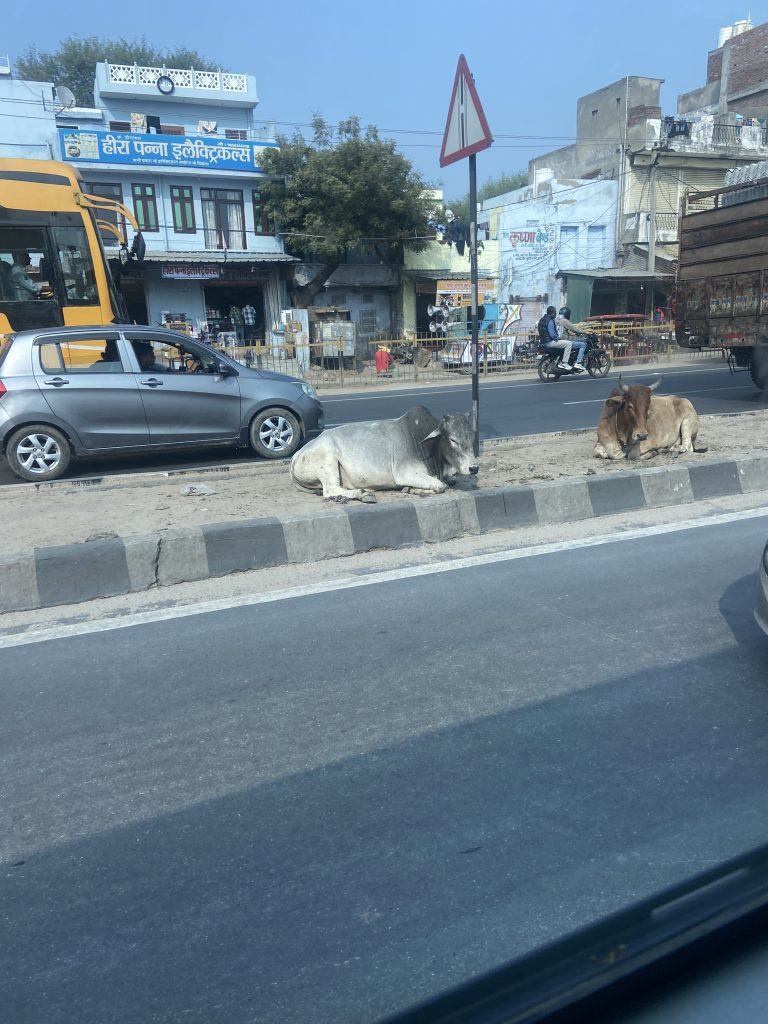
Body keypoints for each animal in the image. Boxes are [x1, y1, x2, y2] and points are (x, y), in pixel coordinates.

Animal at [290, 405, 478, 503]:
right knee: (330, 490)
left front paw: (410, 489)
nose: (474, 468)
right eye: (453, 440)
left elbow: (449, 481)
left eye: (471, 436)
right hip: (328, 461)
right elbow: (441, 486)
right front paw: (413, 489)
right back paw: (363, 494)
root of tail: (296, 455)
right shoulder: (405, 473)